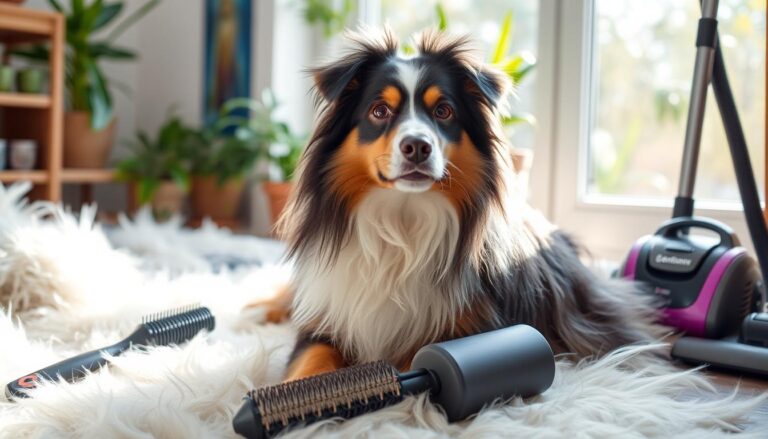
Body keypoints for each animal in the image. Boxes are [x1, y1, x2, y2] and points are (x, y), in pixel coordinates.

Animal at [260, 29, 656, 384]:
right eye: (379, 110)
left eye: (443, 110)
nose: (417, 147)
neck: (403, 221)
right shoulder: (327, 317)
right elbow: (309, 362)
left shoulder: (468, 327)